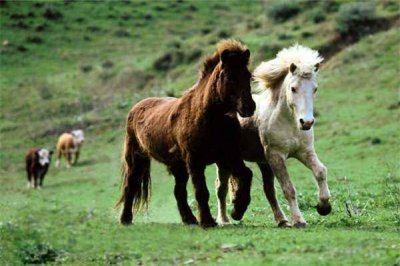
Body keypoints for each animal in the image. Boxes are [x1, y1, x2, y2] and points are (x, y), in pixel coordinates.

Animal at [115, 40, 255, 228]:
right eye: (231, 77)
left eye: (248, 76)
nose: (249, 107)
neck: (210, 118)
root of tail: (136, 107)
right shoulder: (195, 161)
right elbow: (201, 191)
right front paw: (208, 222)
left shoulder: (229, 156)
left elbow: (246, 174)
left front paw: (237, 210)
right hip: (137, 159)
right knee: (131, 186)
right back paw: (125, 219)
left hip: (178, 166)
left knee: (178, 191)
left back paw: (189, 219)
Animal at [216, 44, 332, 228]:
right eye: (293, 88)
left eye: (315, 88)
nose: (306, 122)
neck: (290, 123)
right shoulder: (276, 156)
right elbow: (289, 188)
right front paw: (299, 220)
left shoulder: (304, 152)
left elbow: (321, 171)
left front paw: (324, 207)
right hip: (226, 161)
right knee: (221, 188)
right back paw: (225, 220)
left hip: (263, 163)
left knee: (268, 190)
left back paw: (282, 220)